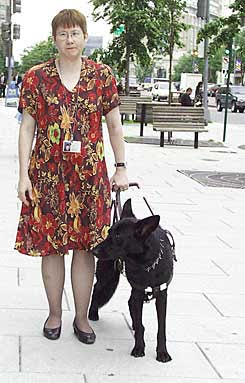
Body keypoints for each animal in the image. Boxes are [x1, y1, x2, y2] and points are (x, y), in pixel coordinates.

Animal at [88, 200, 176, 364]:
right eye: (109, 233)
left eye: (118, 235)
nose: (94, 251)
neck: (147, 263)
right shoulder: (138, 291)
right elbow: (141, 326)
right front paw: (139, 348)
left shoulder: (161, 296)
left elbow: (161, 328)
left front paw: (162, 352)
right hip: (108, 277)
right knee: (97, 287)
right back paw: (93, 313)